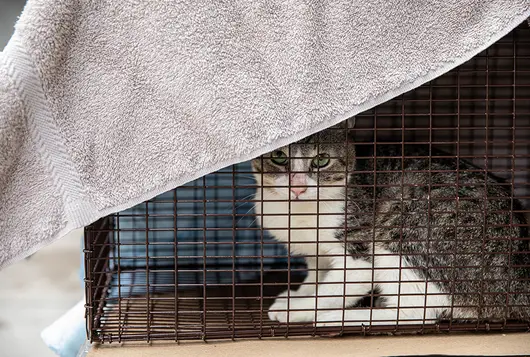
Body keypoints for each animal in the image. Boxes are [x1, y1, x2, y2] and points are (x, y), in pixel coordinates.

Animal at [251, 121, 528, 326]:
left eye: (321, 160)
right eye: (279, 157)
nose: (297, 186)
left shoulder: (358, 253)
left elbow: (334, 290)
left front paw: (299, 308)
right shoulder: (316, 252)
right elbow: (315, 275)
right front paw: (300, 293)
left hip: (403, 232)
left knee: (416, 313)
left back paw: (340, 318)